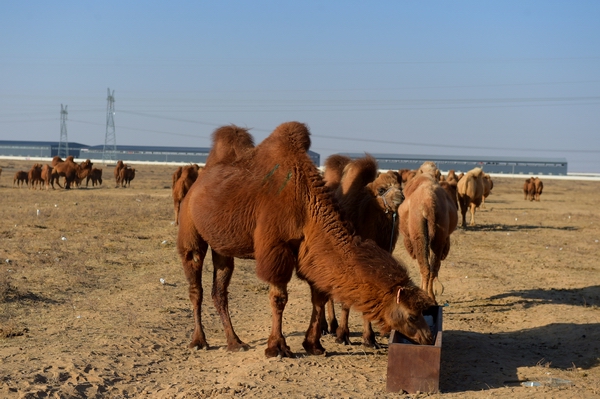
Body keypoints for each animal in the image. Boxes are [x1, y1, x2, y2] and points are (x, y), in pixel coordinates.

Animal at [318, 155, 404, 348]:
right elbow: (347, 300)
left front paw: (369, 339)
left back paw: (331, 326)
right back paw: (326, 327)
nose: (400, 197)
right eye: (381, 189)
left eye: (400, 186)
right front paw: (343, 336)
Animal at [400, 173, 458, 304]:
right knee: (432, 268)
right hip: (439, 232)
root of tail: (428, 203)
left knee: (425, 267)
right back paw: (431, 298)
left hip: (419, 235)